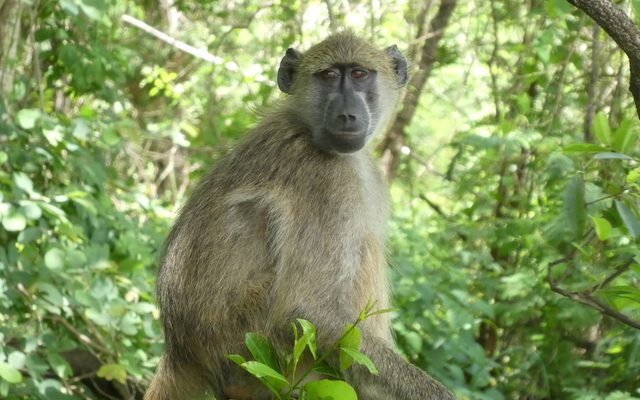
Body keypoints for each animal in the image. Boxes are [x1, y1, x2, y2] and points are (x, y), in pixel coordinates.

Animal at [144, 31, 455, 400]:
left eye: (360, 74)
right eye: (329, 76)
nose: (347, 115)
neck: (307, 128)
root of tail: (180, 352)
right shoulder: (329, 183)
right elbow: (308, 310)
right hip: (254, 354)